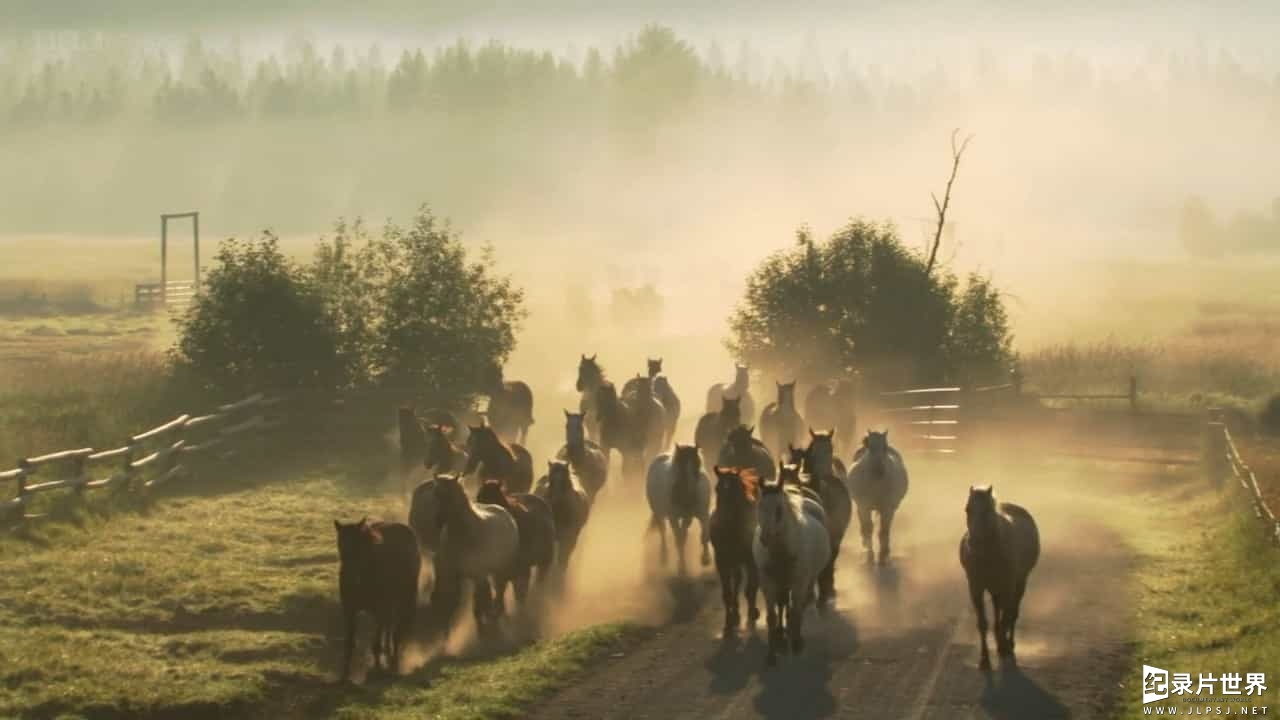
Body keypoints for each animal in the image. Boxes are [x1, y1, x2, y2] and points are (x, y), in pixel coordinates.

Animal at [335, 515, 419, 676]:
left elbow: (376, 643)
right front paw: (344, 675)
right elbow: (349, 643)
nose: (350, 575)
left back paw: (393, 659)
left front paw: (379, 669)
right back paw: (388, 651)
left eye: (358, 545)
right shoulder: (350, 611)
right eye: (340, 544)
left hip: (404, 599)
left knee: (397, 630)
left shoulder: (379, 610)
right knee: (390, 626)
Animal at [645, 443, 716, 571]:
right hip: (658, 513)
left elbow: (703, 535)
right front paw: (682, 566)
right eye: (680, 468)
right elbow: (679, 540)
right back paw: (664, 556)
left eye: (697, 465)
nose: (692, 492)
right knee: (663, 531)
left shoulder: (697, 515)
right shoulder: (673, 517)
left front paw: (705, 559)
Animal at [747, 471, 829, 666]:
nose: (765, 538)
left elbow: (796, 611)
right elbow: (771, 616)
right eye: (760, 506)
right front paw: (771, 655)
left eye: (779, 509)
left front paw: (797, 644)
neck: (781, 553)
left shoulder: (799, 582)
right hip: (782, 584)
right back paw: (781, 635)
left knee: (800, 604)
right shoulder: (768, 583)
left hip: (806, 580)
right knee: (783, 603)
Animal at [849, 427, 911, 563]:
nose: (879, 471)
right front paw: (870, 555)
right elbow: (868, 529)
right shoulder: (864, 507)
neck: (876, 483)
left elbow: (884, 531)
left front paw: (883, 555)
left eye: (885, 447)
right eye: (870, 447)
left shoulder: (887, 509)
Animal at [962, 484, 1039, 671]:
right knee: (999, 609)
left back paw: (1008, 643)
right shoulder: (976, 587)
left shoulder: (1009, 586)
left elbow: (1008, 615)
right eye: (967, 509)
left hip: (1019, 583)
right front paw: (984, 659)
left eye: (987, 511)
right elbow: (983, 623)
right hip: (995, 587)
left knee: (1012, 612)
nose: (972, 543)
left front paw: (1004, 648)